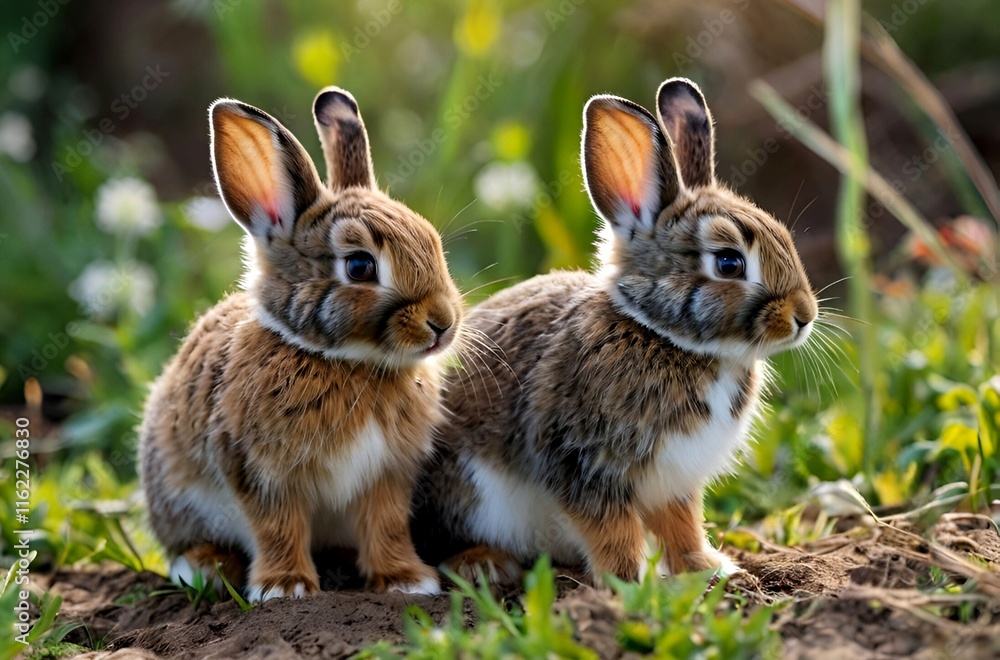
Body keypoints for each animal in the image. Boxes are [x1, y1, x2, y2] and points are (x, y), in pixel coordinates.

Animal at [139, 86, 463, 602]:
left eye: (432, 242)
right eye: (359, 266)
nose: (443, 324)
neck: (348, 362)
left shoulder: (387, 474)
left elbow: (386, 524)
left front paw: (405, 581)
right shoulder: (261, 472)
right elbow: (278, 526)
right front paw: (285, 588)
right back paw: (205, 566)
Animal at [412, 78, 817, 584]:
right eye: (729, 263)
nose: (805, 315)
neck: (665, 337)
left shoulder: (674, 481)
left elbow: (682, 525)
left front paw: (709, 569)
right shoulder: (585, 463)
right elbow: (611, 531)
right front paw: (629, 584)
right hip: (465, 491)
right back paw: (484, 564)